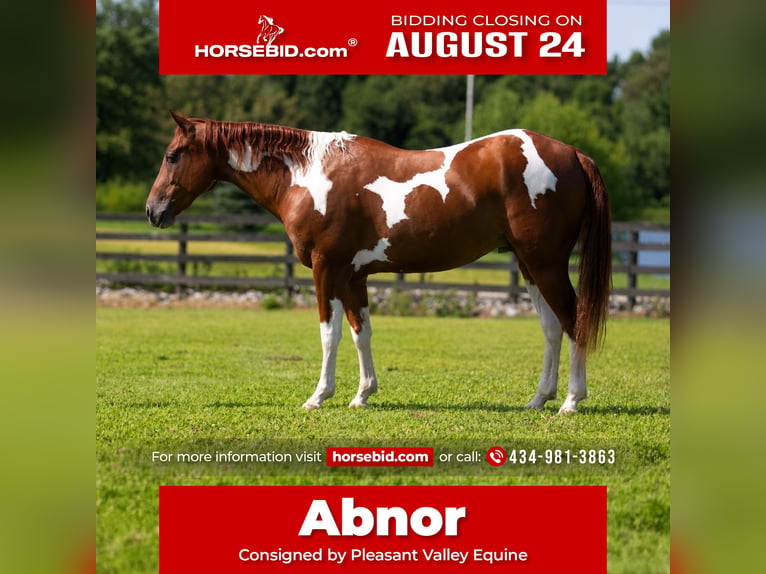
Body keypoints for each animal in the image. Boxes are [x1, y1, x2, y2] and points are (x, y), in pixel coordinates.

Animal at [146, 110, 611, 413]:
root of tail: (573, 153)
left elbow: (329, 334)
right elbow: (361, 333)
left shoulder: (326, 269)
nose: (153, 211)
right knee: (551, 328)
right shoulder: (353, 276)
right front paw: (362, 394)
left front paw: (318, 397)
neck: (309, 174)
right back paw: (538, 399)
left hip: (546, 263)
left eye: (172, 155)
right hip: (529, 265)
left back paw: (571, 401)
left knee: (573, 320)